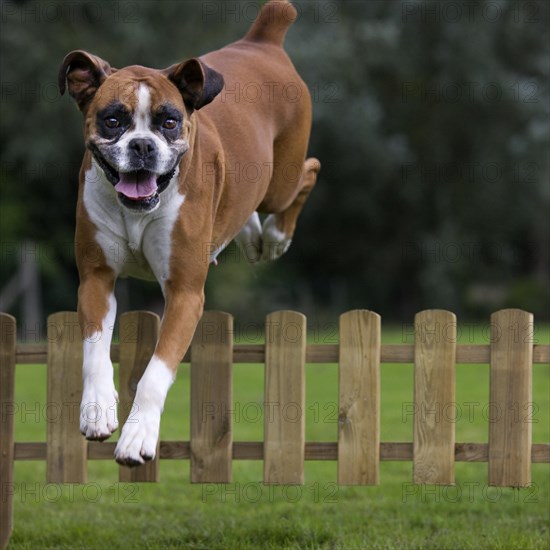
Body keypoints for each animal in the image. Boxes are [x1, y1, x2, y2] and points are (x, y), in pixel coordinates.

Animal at [58, 0, 322, 466]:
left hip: (282, 179)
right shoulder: (95, 280)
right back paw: (250, 234)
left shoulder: (184, 294)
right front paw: (97, 408)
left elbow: (154, 372)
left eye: (168, 122)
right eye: (113, 120)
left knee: (308, 172)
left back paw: (275, 236)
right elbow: (94, 350)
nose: (142, 145)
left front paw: (137, 436)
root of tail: (262, 41)